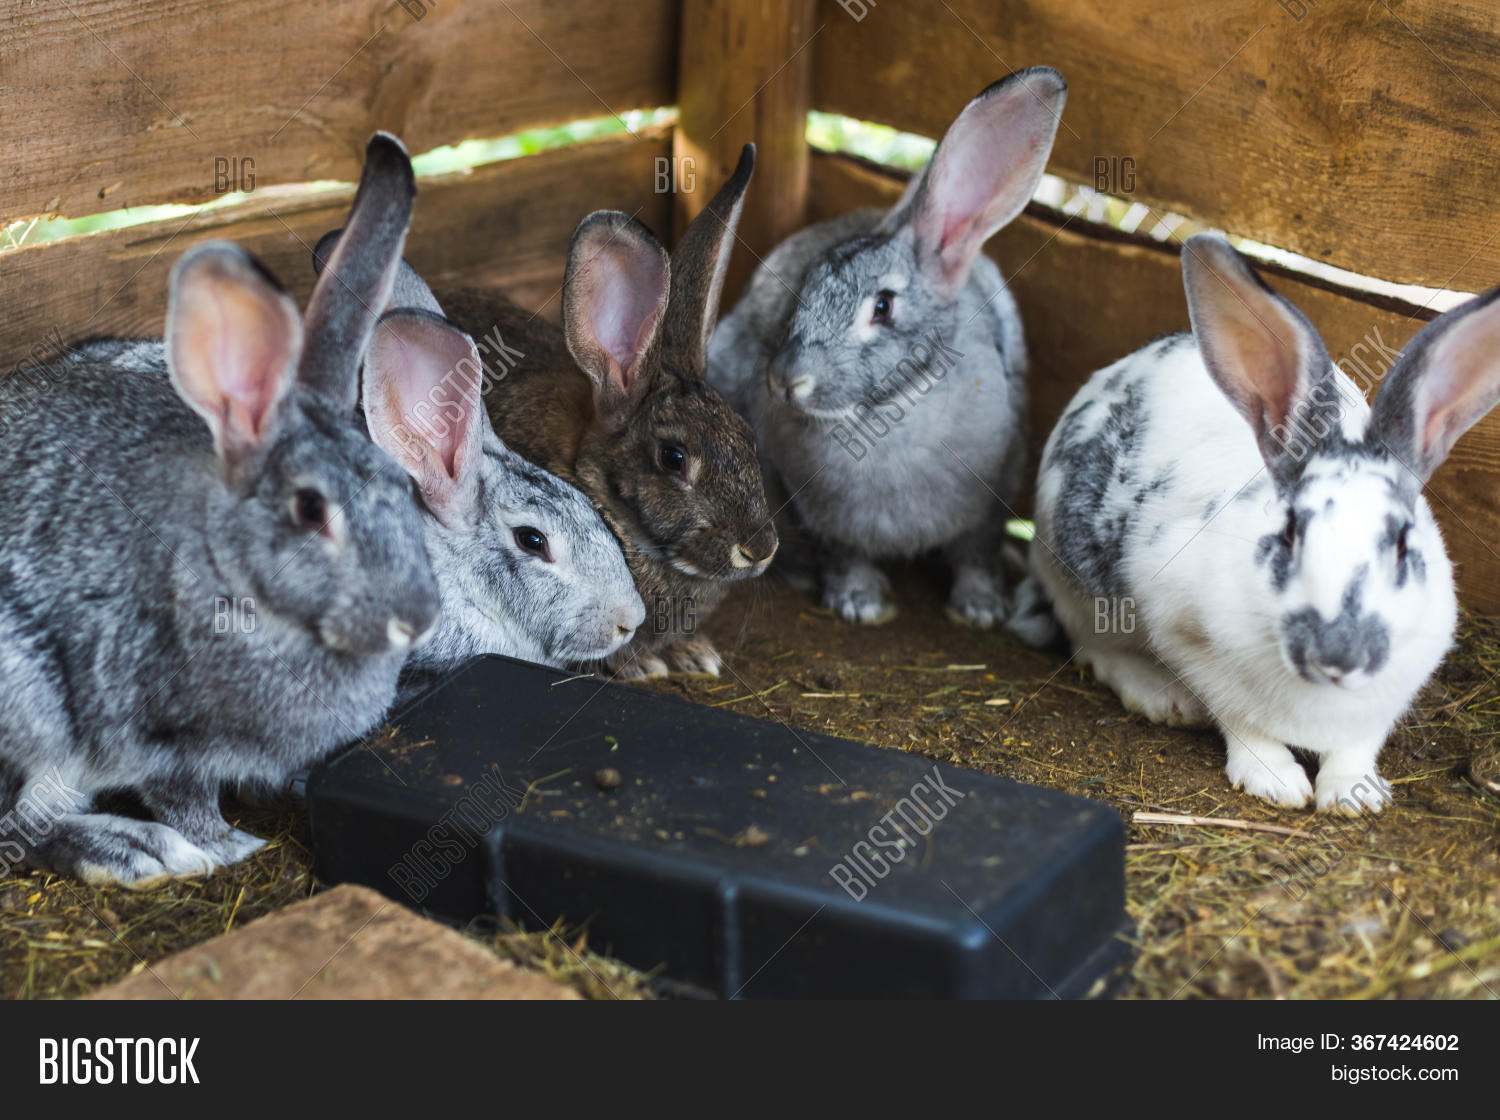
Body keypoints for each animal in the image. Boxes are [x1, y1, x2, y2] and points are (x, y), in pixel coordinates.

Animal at [0, 133, 441, 888]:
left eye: (401, 487)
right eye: (310, 510)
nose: (416, 618)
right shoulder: (157, 735)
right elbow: (187, 798)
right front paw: (230, 847)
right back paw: (133, 850)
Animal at [708, 68, 1067, 629]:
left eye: (882, 306)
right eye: (805, 285)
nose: (786, 378)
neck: (886, 411)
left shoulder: (991, 503)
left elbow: (977, 553)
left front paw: (982, 608)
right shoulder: (819, 515)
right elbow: (844, 554)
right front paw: (858, 602)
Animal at [1015, 231, 1500, 813]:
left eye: (1403, 544)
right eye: (1290, 534)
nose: (1339, 655)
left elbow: (1358, 744)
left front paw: (1354, 795)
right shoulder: (1191, 639)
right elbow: (1243, 722)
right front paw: (1277, 782)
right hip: (1080, 580)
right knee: (1092, 647)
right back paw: (1161, 696)